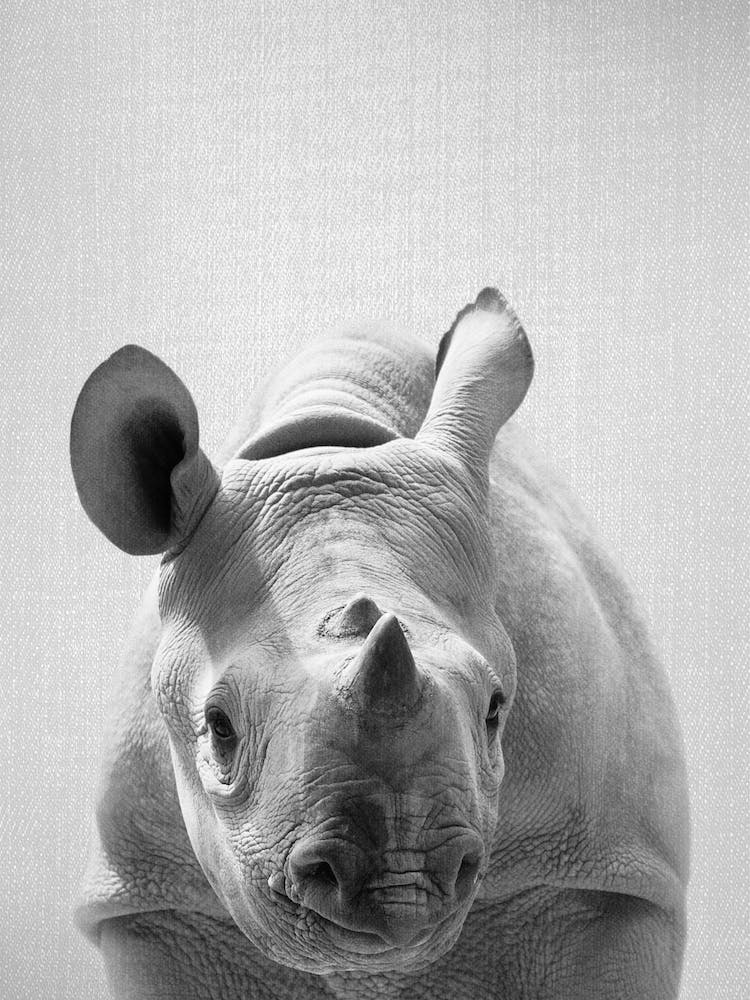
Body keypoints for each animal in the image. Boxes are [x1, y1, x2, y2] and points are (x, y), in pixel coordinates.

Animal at [70, 289, 689, 999]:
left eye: (496, 710)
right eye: (218, 727)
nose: (402, 885)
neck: (326, 443)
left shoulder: (604, 872)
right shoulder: (155, 899)